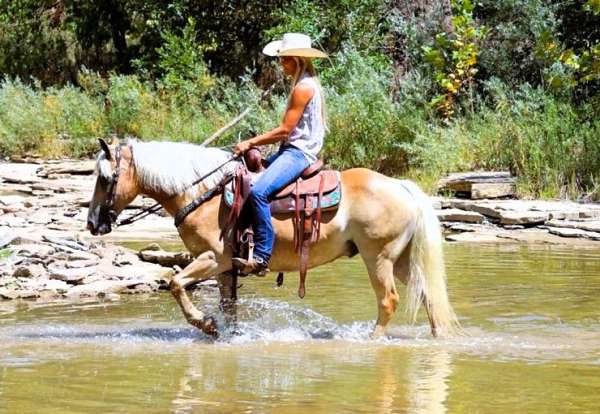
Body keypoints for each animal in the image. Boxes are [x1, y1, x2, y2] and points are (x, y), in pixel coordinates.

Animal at [85, 137, 460, 338]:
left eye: (104, 178)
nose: (92, 223)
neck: (202, 193)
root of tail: (402, 186)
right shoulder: (226, 268)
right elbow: (228, 306)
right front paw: (225, 333)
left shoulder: (214, 258)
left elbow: (175, 283)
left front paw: (206, 325)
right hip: (401, 259)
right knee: (427, 294)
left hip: (378, 258)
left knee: (389, 300)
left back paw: (370, 340)